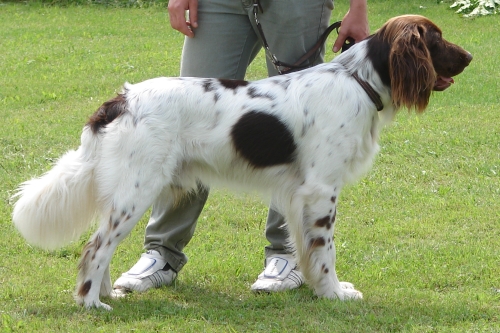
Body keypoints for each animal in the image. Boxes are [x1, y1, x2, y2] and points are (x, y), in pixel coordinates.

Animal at [12, 15, 472, 308]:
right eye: (436, 39)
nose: (469, 57)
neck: (358, 81)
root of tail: (120, 99)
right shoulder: (322, 191)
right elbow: (325, 251)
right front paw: (335, 294)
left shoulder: (299, 195)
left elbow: (304, 249)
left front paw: (315, 289)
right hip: (137, 191)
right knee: (95, 248)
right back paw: (92, 304)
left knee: (101, 246)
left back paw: (106, 294)